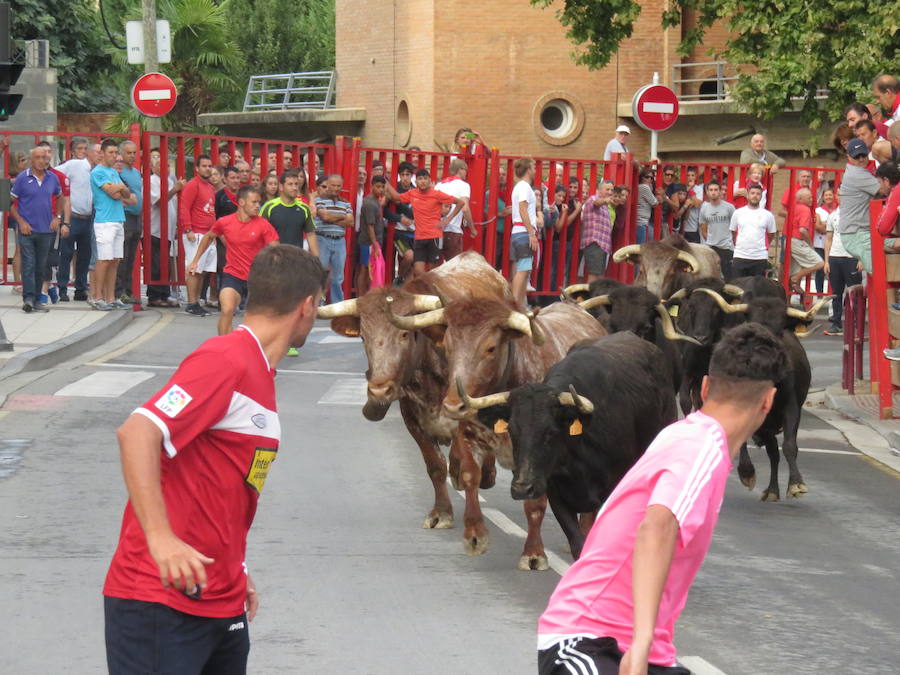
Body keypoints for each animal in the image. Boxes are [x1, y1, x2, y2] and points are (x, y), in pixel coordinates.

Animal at [386, 298, 604, 568]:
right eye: (447, 348)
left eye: (490, 348)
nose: (453, 405)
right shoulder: (469, 438)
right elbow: (470, 476)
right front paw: (475, 535)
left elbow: (535, 503)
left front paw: (534, 553)